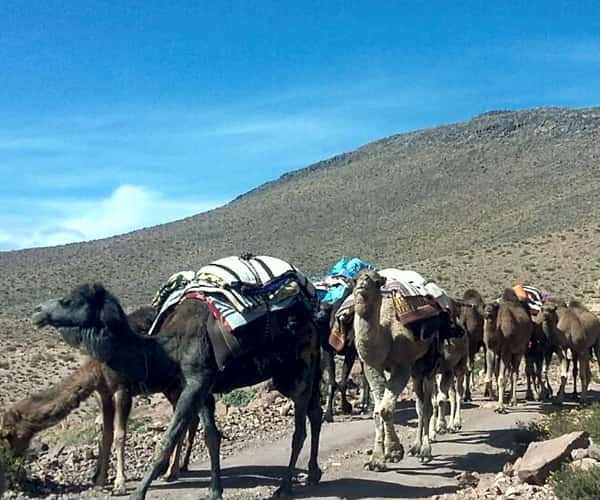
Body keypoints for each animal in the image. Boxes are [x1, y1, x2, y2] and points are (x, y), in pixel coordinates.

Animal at [0, 306, 199, 494]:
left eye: (7, 434)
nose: (10, 459)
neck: (95, 366)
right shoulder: (103, 394)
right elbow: (106, 435)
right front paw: (100, 481)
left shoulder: (122, 390)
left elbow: (119, 435)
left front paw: (119, 484)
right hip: (169, 386)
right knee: (188, 419)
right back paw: (174, 468)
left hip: (180, 381)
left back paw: (171, 472)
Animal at [31, 282, 324, 500]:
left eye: (69, 301)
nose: (37, 311)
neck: (166, 349)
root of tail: (313, 319)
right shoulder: (202, 385)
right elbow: (211, 436)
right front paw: (214, 490)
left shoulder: (196, 381)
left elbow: (167, 439)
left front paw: (137, 492)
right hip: (292, 373)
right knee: (315, 413)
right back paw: (313, 474)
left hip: (300, 370)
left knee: (300, 429)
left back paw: (285, 487)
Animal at [350, 270, 458, 468]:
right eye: (355, 279)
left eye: (376, 281)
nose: (362, 284)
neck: (385, 334)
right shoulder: (372, 367)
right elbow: (377, 411)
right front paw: (377, 459)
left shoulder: (402, 365)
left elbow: (385, 409)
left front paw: (394, 452)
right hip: (416, 371)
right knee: (420, 405)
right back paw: (415, 447)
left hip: (429, 363)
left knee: (428, 406)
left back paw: (425, 451)